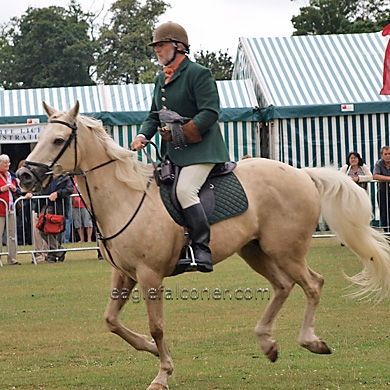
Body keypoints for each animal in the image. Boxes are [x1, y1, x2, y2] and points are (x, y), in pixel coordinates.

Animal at [16, 102, 390, 388]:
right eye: (40, 137)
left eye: (58, 140)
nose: (23, 176)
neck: (124, 197)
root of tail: (302, 173)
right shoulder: (124, 274)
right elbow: (111, 321)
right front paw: (150, 349)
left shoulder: (150, 276)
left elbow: (157, 326)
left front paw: (162, 373)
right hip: (255, 251)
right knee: (283, 286)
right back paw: (267, 342)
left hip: (286, 251)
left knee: (312, 284)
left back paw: (310, 340)